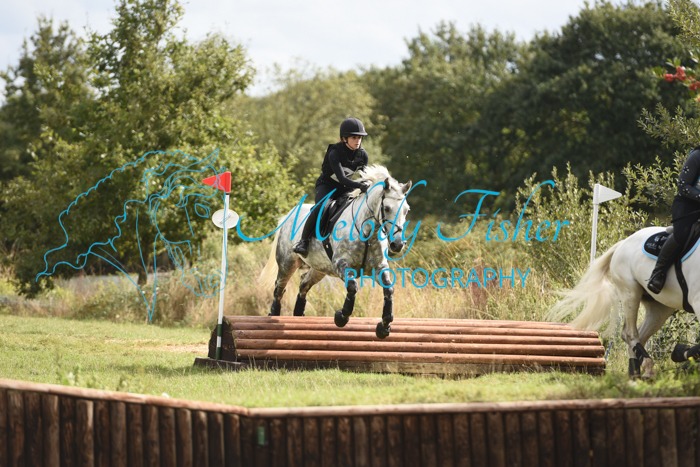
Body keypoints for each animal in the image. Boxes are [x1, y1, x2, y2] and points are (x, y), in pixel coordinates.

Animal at [259, 165, 412, 339]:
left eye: (406, 210)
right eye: (386, 208)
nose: (397, 244)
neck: (367, 232)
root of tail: (288, 215)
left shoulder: (379, 267)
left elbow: (389, 289)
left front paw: (384, 326)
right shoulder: (341, 264)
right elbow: (352, 287)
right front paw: (341, 316)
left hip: (319, 268)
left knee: (304, 284)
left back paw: (298, 316)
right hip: (288, 263)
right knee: (279, 289)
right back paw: (273, 315)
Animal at [548, 225, 700, 378]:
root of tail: (623, 243)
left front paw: (681, 351)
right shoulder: (697, 301)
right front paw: (680, 351)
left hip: (660, 308)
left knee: (641, 335)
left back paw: (638, 371)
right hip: (630, 293)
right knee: (629, 334)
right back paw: (643, 368)